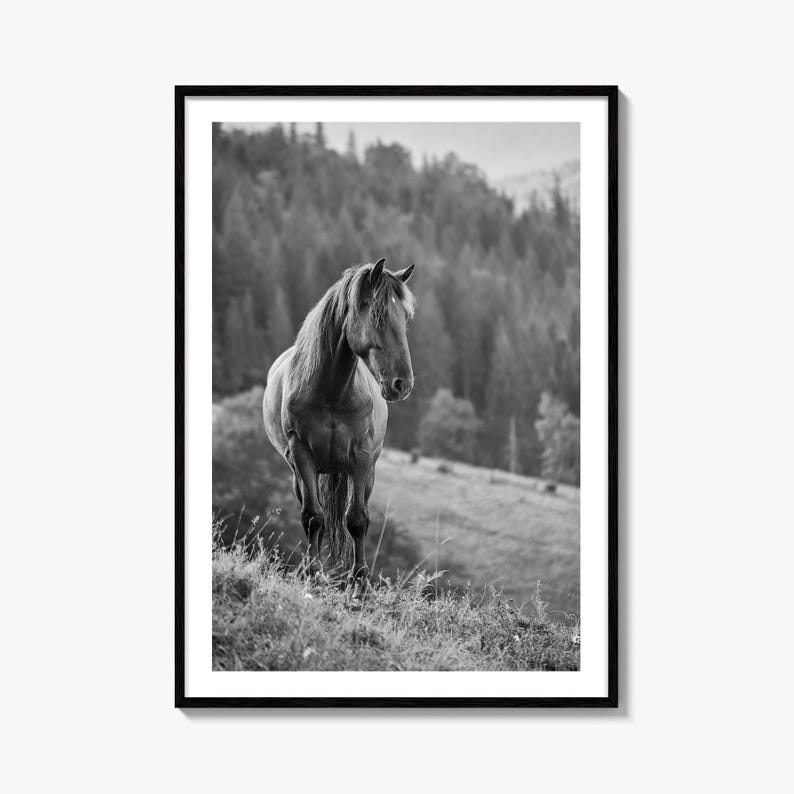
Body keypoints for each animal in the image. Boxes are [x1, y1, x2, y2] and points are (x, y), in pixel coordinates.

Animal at [263, 258, 416, 580]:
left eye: (405, 317)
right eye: (378, 314)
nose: (402, 384)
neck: (331, 391)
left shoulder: (361, 457)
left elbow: (356, 519)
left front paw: (360, 579)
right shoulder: (302, 455)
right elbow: (313, 517)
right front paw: (312, 572)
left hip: (366, 472)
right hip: (300, 472)